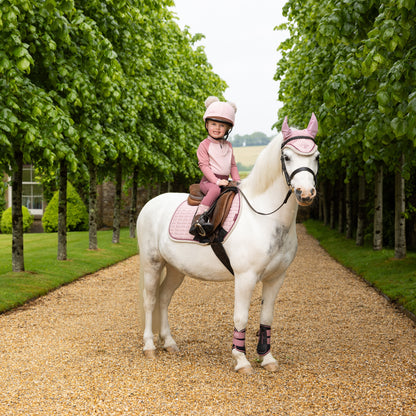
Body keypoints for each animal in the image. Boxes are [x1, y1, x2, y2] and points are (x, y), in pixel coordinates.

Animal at [136, 114, 318, 374]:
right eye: (286, 157)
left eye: (316, 156)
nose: (306, 193)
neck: (262, 216)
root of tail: (150, 204)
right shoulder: (246, 277)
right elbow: (240, 317)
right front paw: (241, 360)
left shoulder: (276, 278)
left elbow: (267, 317)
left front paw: (267, 358)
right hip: (152, 263)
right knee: (150, 300)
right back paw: (150, 346)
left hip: (175, 268)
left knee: (163, 298)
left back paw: (169, 343)